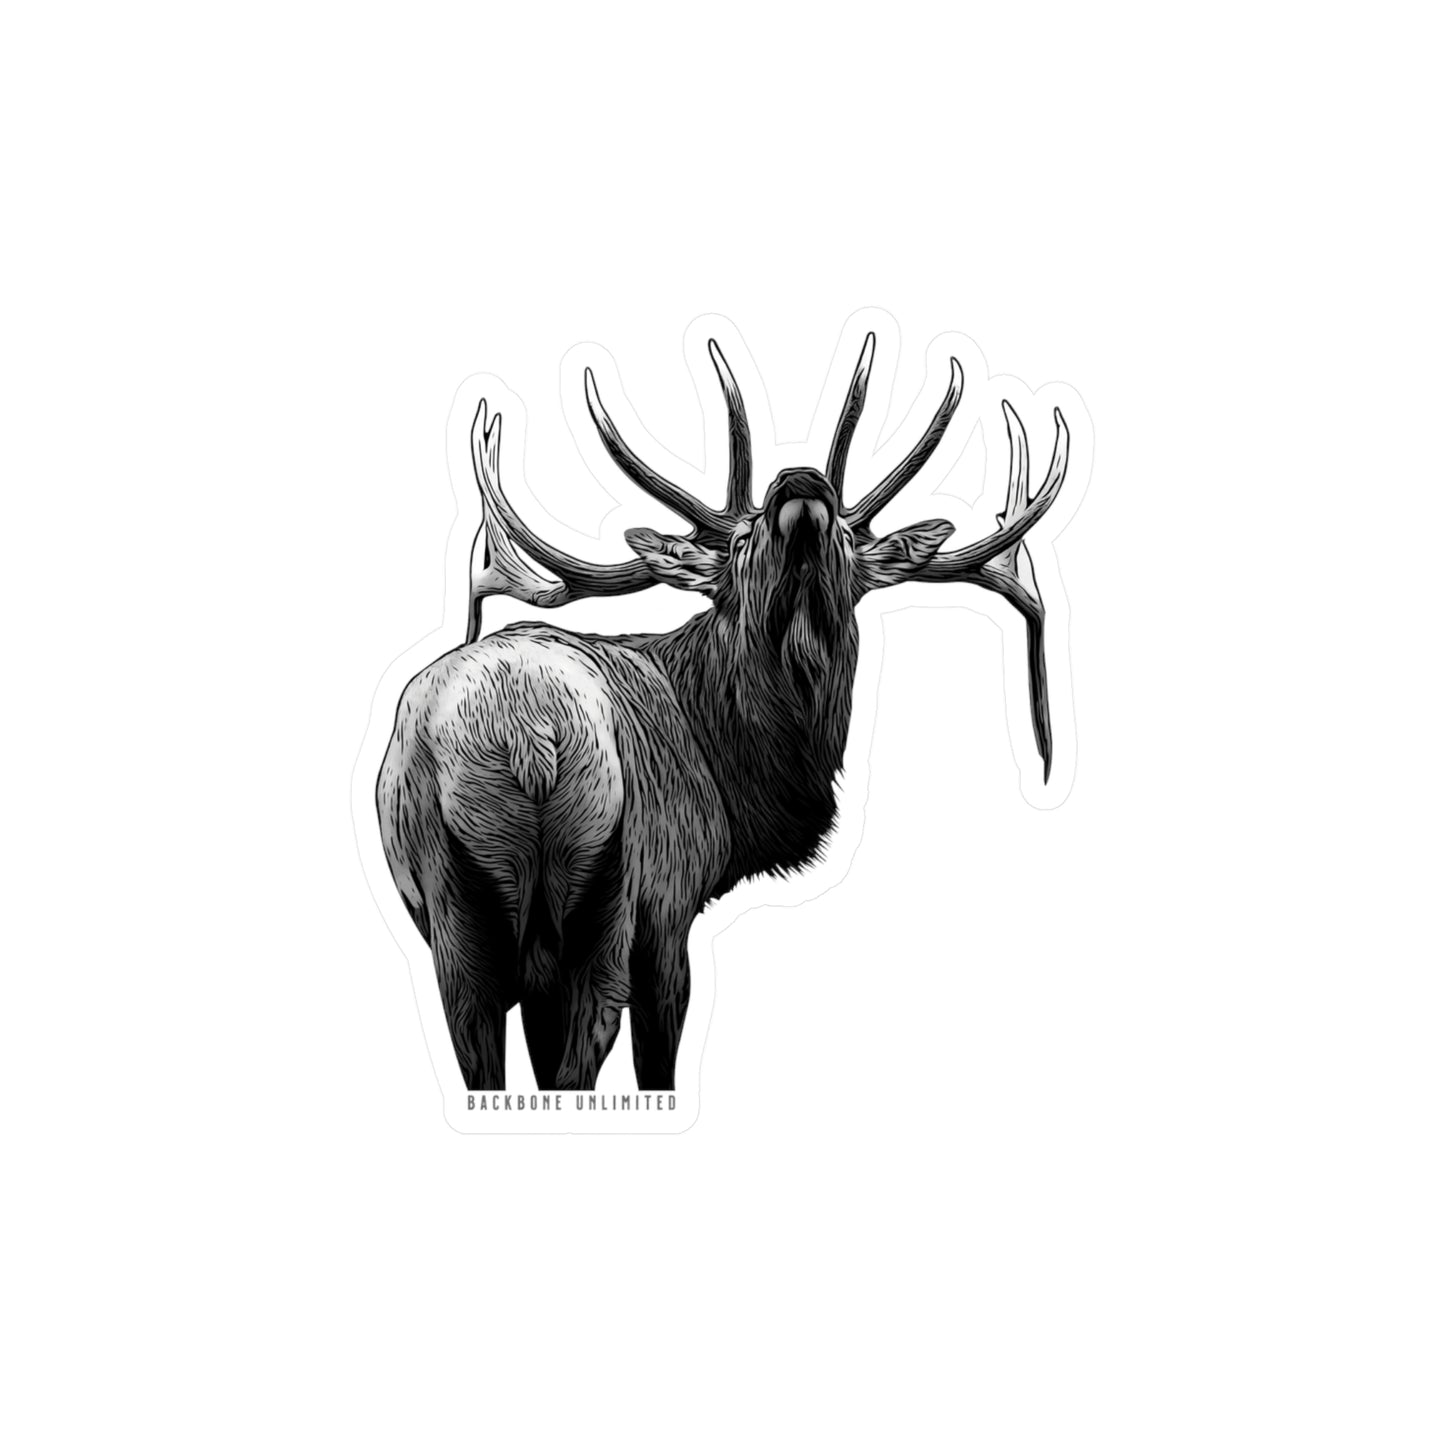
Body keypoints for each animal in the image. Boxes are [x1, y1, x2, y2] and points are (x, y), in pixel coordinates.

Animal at [377, 333, 1070, 1091]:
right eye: (739, 544)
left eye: (846, 540)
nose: (799, 482)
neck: (741, 795)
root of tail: (527, 737)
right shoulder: (670, 902)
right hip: (607, 899)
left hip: (455, 910)